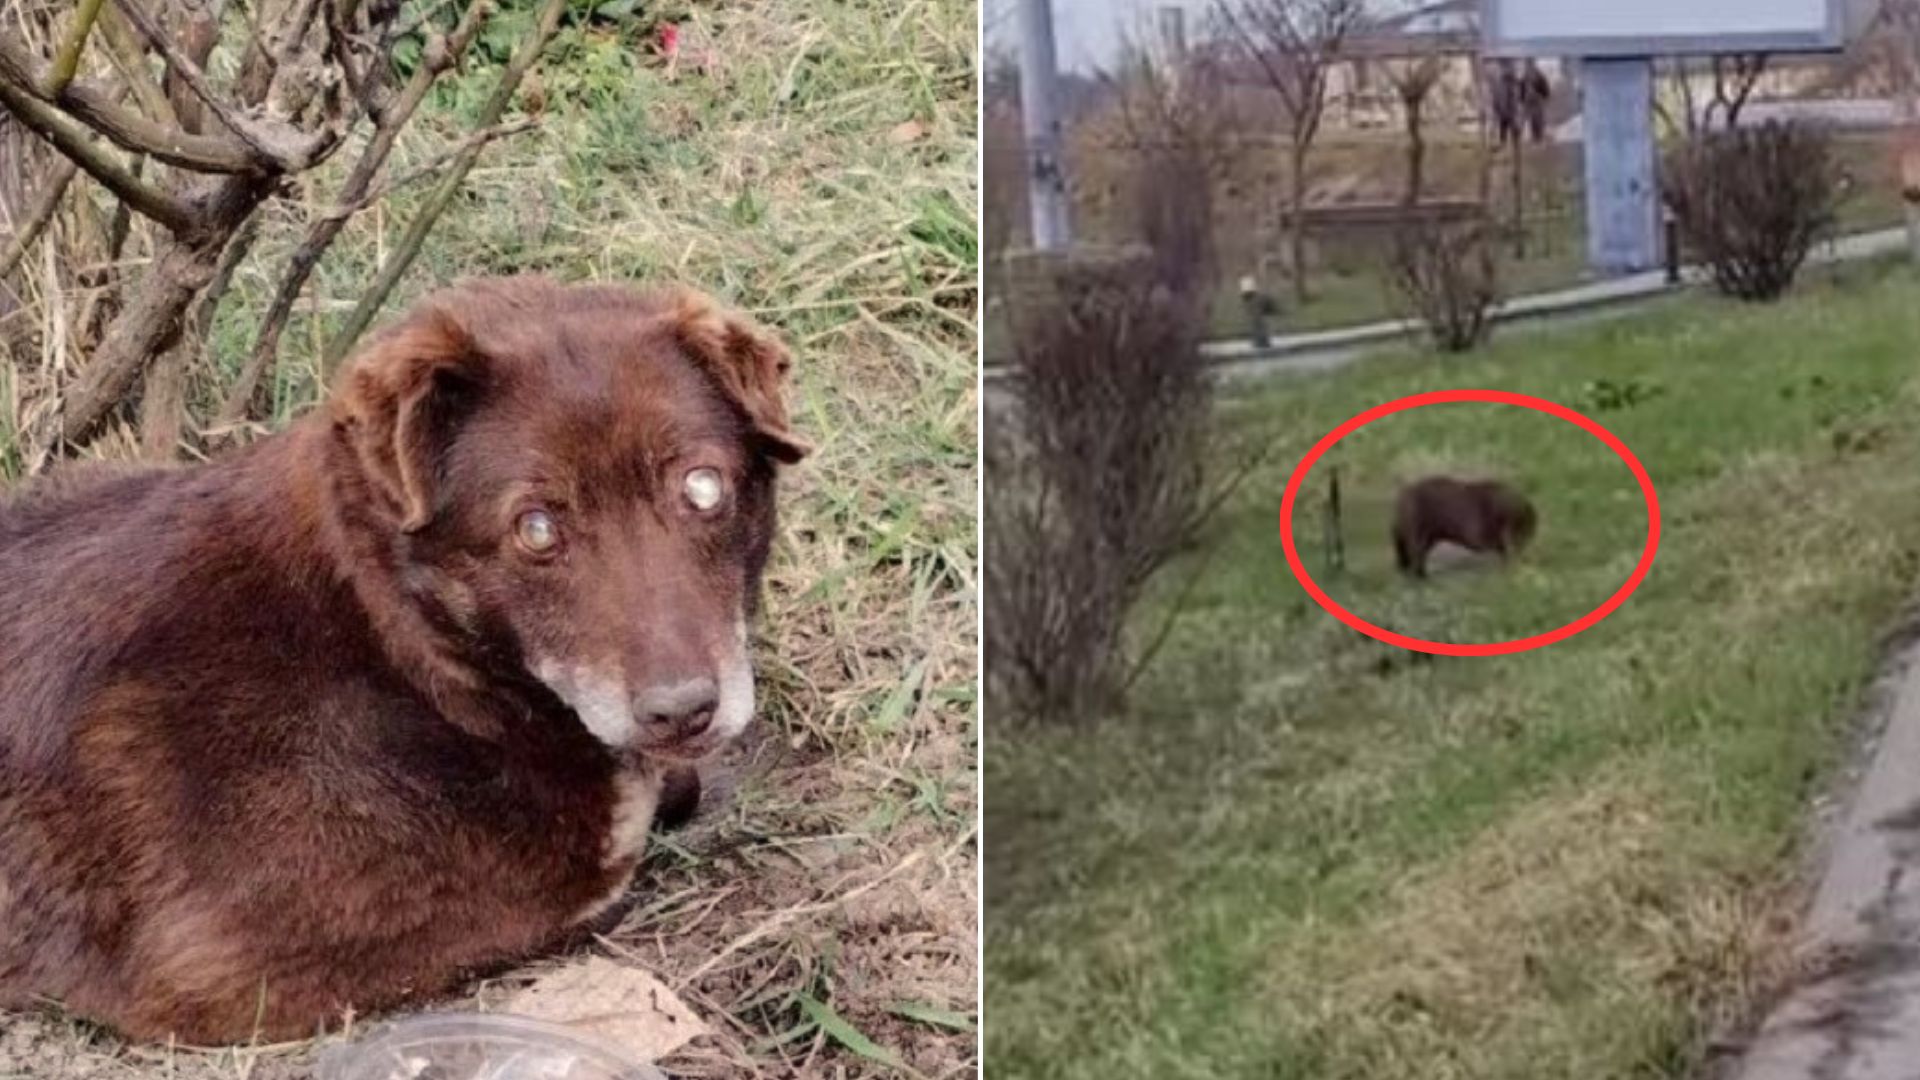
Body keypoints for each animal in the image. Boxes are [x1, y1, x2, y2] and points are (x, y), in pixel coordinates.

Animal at [0, 272, 806, 1037]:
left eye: (702, 487)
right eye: (536, 528)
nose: (683, 712)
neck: (395, 641)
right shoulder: (225, 963)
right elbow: (601, 876)